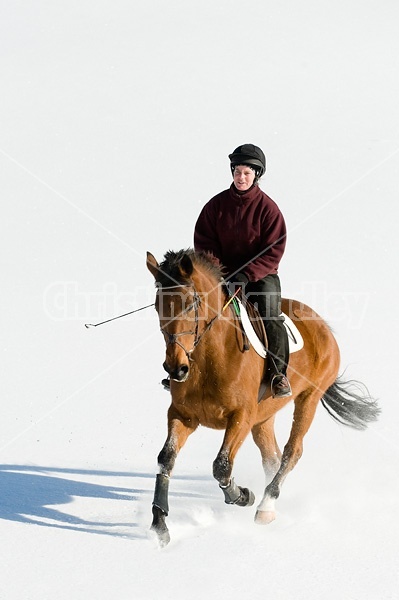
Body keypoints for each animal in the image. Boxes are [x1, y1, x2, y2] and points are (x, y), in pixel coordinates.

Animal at [148, 246, 382, 548]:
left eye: (190, 303)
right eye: (158, 306)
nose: (175, 368)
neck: (209, 359)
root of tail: (322, 325)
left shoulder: (241, 417)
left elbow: (222, 465)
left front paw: (242, 496)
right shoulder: (182, 415)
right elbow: (166, 458)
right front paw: (159, 524)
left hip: (308, 399)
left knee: (292, 452)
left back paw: (265, 507)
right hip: (264, 418)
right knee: (272, 457)